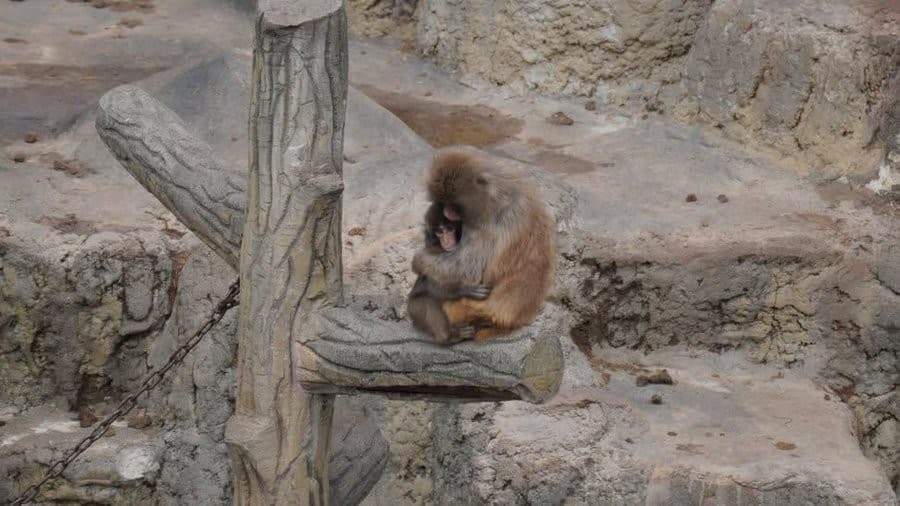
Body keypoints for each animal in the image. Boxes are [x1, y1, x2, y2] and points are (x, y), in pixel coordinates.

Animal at [407, 202, 491, 343]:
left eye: (450, 229)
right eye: (440, 232)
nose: (446, 240)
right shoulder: (434, 250)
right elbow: (434, 285)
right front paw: (465, 289)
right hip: (413, 309)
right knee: (428, 300)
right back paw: (450, 336)